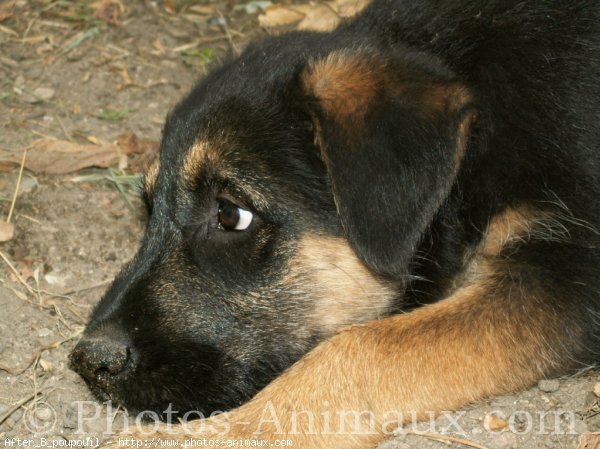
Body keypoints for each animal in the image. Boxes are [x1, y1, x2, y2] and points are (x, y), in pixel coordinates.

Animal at [71, 1, 600, 446]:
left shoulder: (572, 277)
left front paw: (217, 435)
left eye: (229, 214)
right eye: (148, 208)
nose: (89, 362)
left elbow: (364, 345)